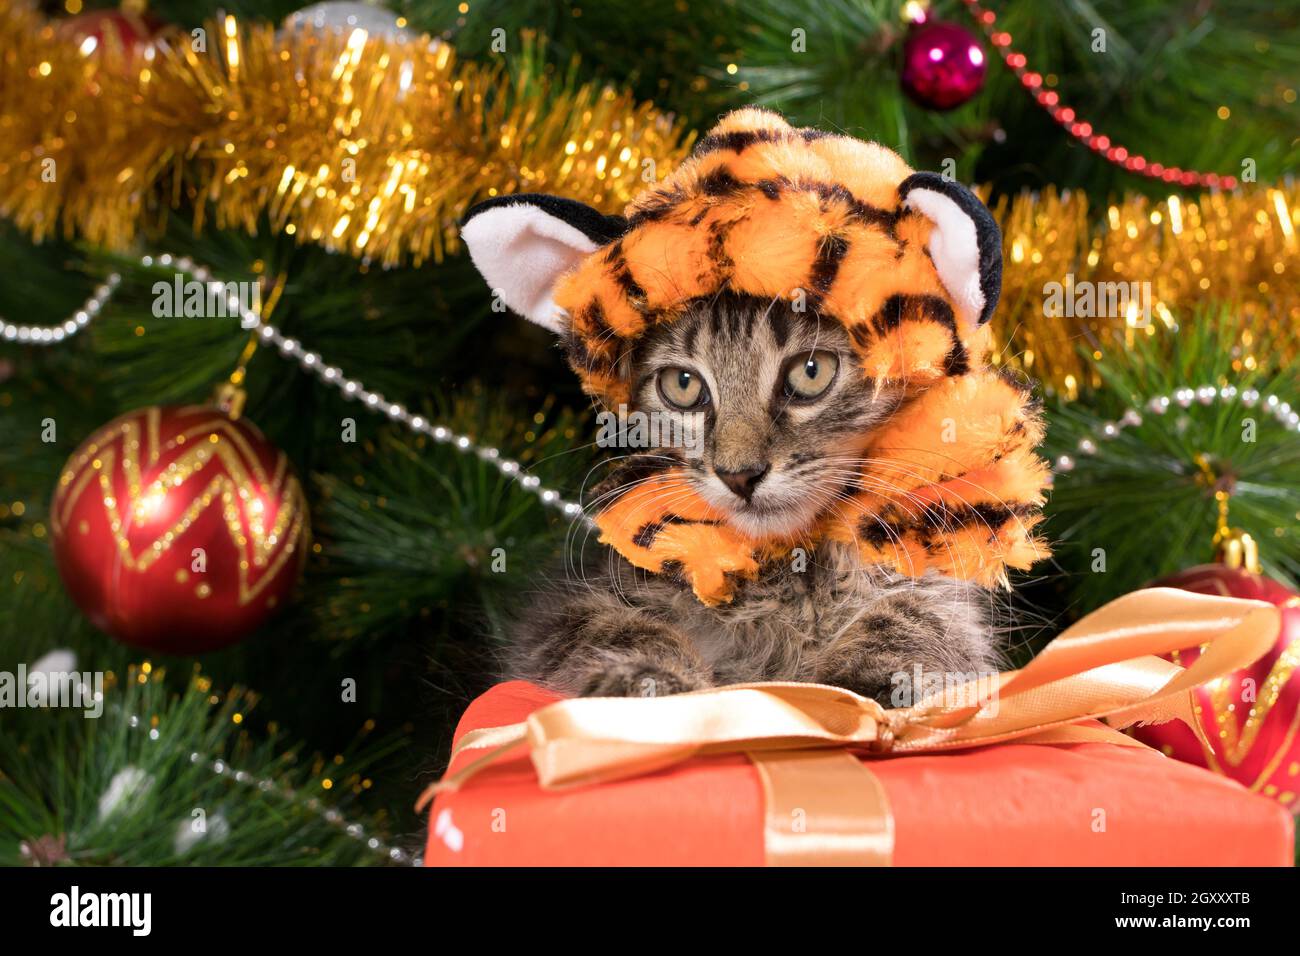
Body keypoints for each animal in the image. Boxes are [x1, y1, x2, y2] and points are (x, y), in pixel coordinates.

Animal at [501, 295, 998, 707]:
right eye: (683, 384)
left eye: (811, 371)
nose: (739, 475)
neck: (786, 565)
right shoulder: (566, 610)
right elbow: (626, 631)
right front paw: (648, 683)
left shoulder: (939, 590)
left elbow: (909, 621)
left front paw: (870, 686)